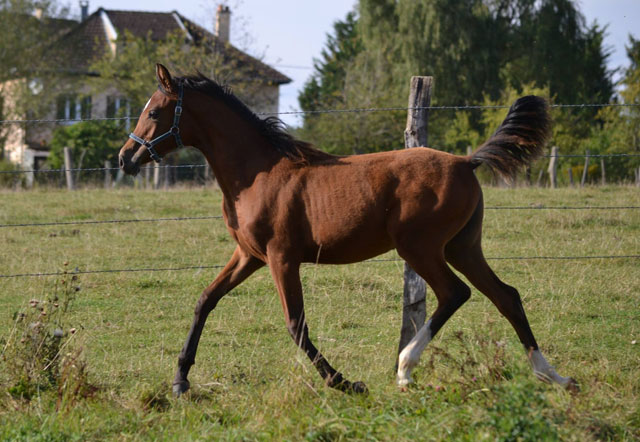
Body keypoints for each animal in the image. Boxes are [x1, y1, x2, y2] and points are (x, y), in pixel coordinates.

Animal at [117, 63, 576, 398]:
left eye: (154, 112)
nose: (125, 158)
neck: (256, 174)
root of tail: (466, 161)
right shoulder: (249, 256)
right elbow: (205, 301)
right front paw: (180, 381)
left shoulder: (282, 258)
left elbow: (296, 324)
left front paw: (345, 383)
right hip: (462, 247)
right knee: (506, 296)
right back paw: (552, 376)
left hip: (421, 248)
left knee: (455, 293)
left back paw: (405, 368)